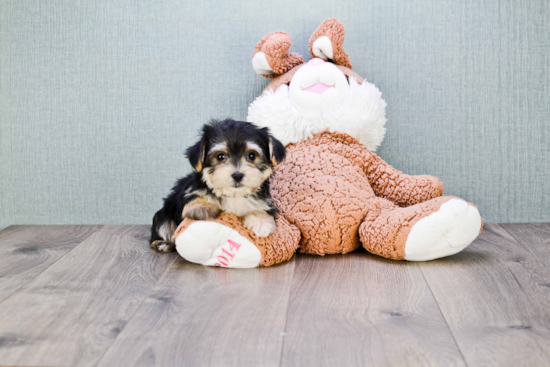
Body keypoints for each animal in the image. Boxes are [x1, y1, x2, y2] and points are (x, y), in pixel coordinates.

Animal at [151, 118, 288, 253]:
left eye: (252, 155)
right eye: (220, 156)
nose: (237, 175)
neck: (234, 195)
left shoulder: (265, 201)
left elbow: (261, 209)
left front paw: (261, 222)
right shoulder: (189, 191)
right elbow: (196, 198)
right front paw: (203, 206)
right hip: (164, 214)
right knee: (161, 228)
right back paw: (162, 244)